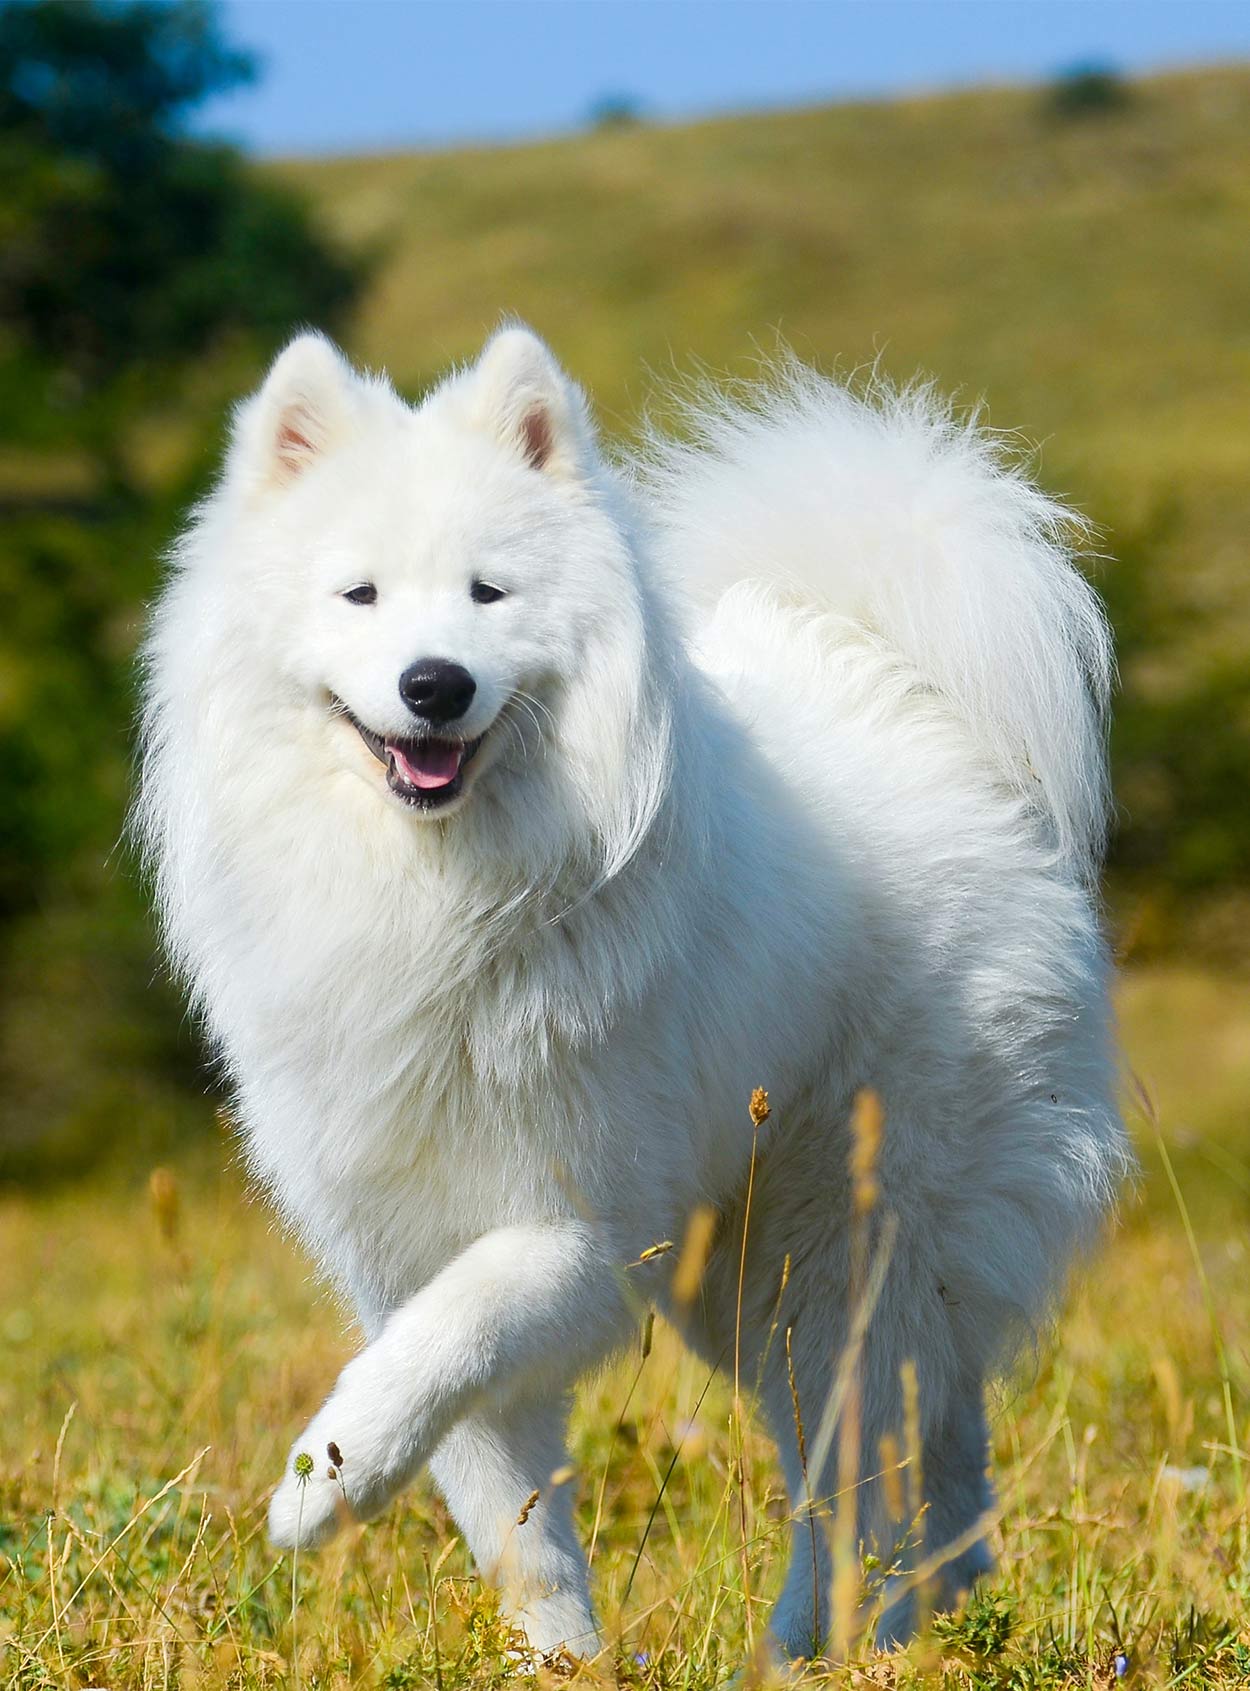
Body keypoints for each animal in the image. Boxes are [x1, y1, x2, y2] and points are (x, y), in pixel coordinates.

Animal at [137, 322, 1136, 1657]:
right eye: (359, 595)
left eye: (487, 593)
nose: (434, 683)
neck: (441, 895)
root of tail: (908, 698)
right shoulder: (398, 1238)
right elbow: (505, 1509)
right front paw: (553, 1658)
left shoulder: (584, 1226)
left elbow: (448, 1337)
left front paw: (322, 1480)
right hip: (760, 1279)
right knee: (935, 1453)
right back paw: (917, 1613)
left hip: (830, 1253)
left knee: (855, 1473)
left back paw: (809, 1649)